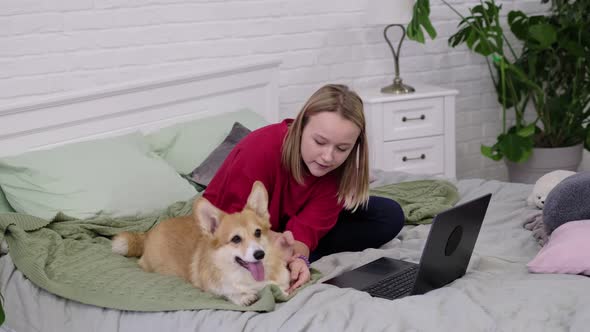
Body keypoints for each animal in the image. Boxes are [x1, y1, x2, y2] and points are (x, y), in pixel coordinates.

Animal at [112, 182, 292, 306]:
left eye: (258, 232)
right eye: (236, 239)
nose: (260, 254)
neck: (247, 277)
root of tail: (148, 233)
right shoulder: (211, 287)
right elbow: (227, 292)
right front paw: (243, 297)